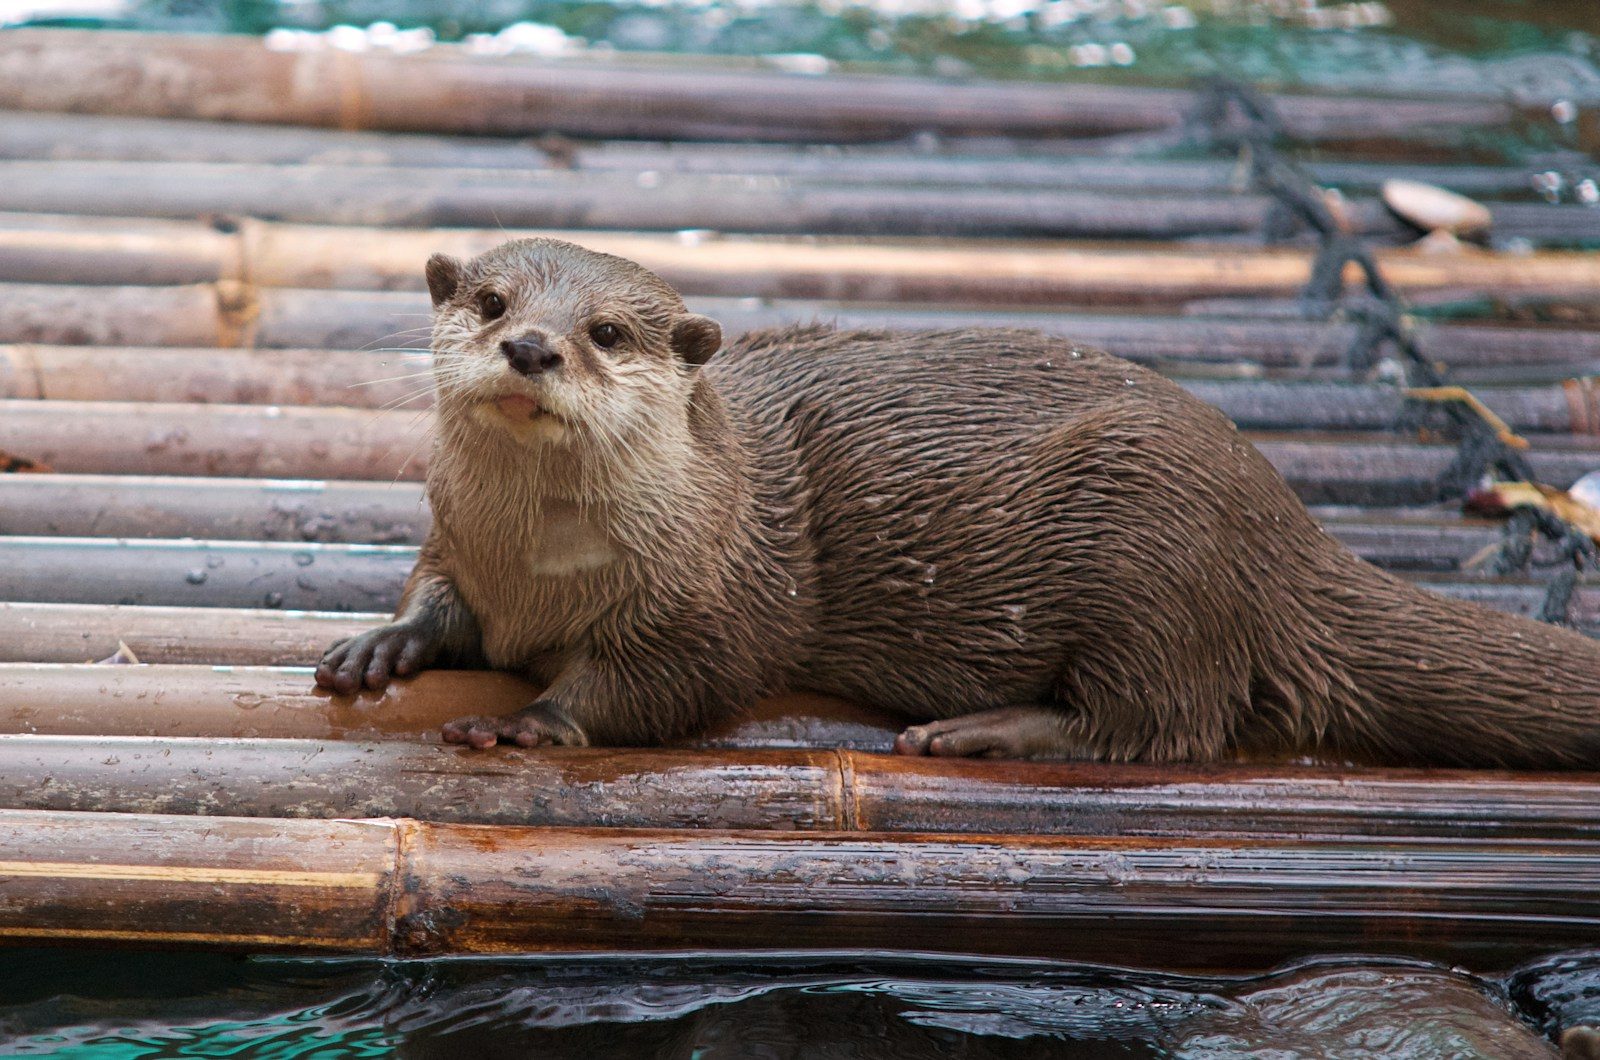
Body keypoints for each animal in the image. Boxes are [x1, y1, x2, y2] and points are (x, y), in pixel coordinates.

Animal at [315, 237, 1600, 767]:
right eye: (489, 301)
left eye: (609, 333)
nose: (532, 346)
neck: (542, 569)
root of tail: (1285, 527)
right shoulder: (457, 541)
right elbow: (435, 593)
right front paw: (383, 644)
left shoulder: (723, 596)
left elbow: (669, 684)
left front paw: (532, 719)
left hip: (1153, 538)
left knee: (1167, 720)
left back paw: (986, 728)